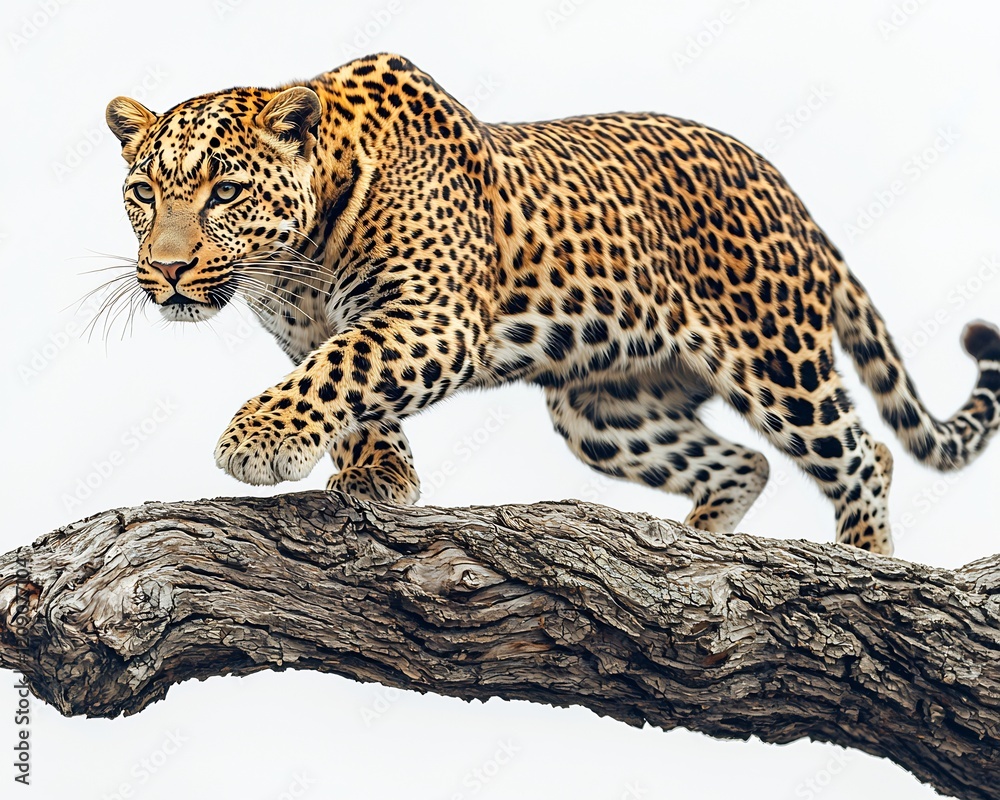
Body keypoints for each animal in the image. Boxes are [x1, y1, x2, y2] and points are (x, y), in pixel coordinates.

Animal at [105, 52, 1000, 556]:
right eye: (144, 194)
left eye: (224, 191)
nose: (167, 271)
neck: (296, 262)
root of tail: (793, 198)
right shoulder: (311, 331)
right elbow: (347, 389)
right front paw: (380, 475)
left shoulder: (433, 317)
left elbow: (343, 369)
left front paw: (257, 440)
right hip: (605, 412)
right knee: (744, 461)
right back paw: (693, 551)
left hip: (777, 357)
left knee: (863, 452)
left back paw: (868, 560)